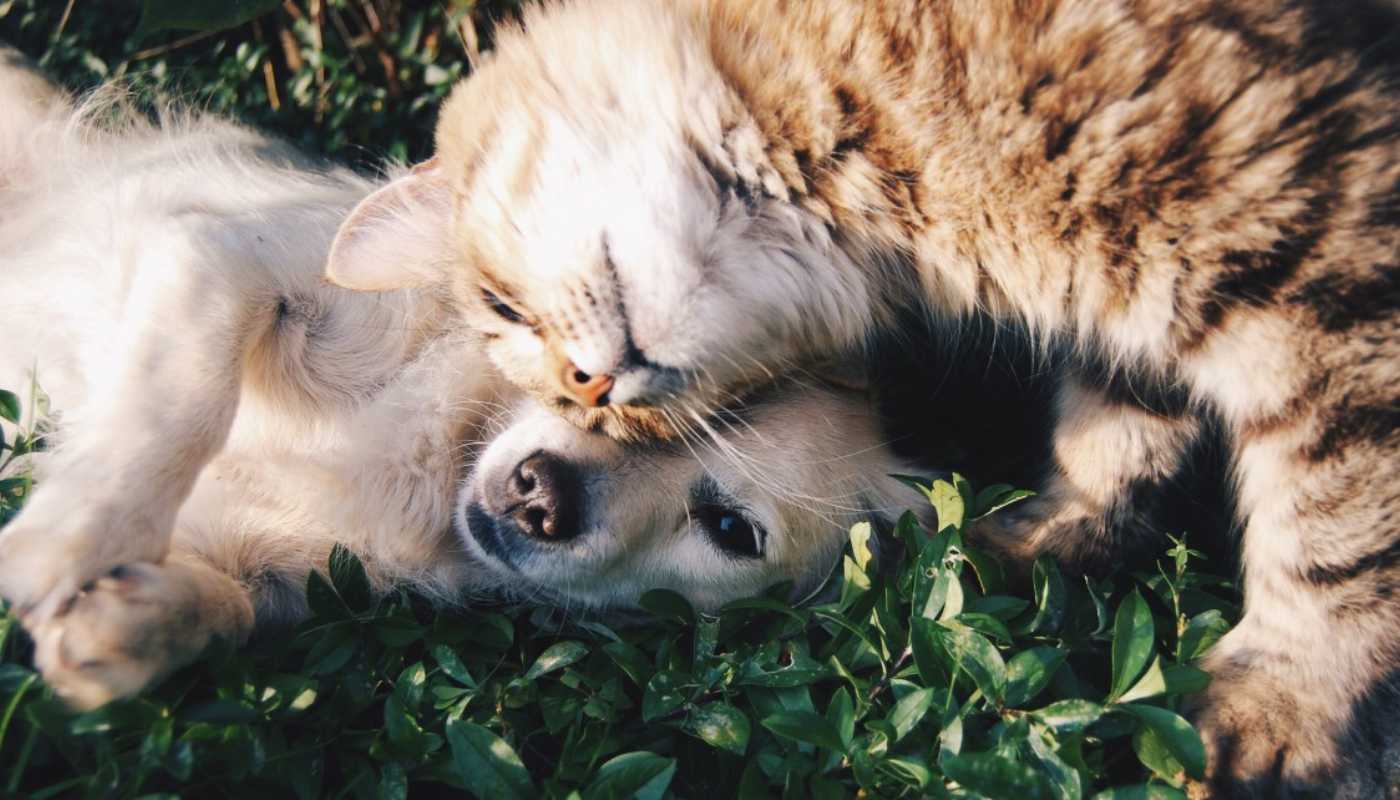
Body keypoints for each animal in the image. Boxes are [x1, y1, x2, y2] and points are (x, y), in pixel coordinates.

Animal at [0, 54, 929, 706]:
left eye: (732, 530)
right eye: (589, 378)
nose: (539, 495)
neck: (439, 455)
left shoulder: (278, 571)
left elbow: (227, 608)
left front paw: (126, 627)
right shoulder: (219, 259)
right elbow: (181, 405)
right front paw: (69, 539)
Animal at [322, 1, 1400, 795]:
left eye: (505, 308)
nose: (592, 391)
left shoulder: (1324, 267)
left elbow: (1334, 529)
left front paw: (1285, 705)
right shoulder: (1139, 310)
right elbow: (1117, 433)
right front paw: (1044, 538)